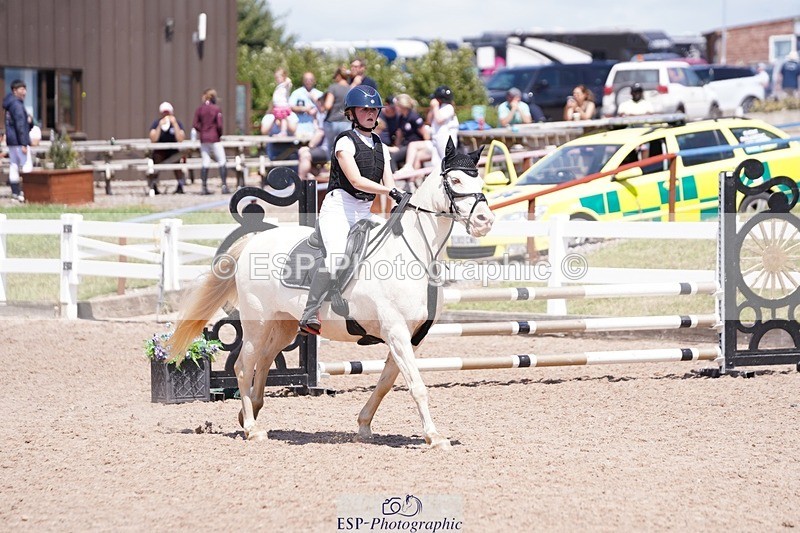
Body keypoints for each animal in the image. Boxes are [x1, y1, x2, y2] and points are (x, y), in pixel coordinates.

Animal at [170, 138, 494, 449]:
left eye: (480, 181)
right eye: (455, 180)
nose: (485, 221)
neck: (414, 252)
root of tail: (254, 240)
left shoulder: (410, 336)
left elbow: (385, 384)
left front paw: (364, 427)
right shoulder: (396, 331)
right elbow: (416, 385)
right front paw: (434, 437)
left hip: (284, 325)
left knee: (263, 360)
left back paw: (251, 413)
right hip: (257, 322)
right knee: (243, 365)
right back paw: (252, 428)